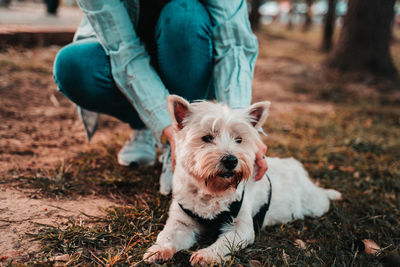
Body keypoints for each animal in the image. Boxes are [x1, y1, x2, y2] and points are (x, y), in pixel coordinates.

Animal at [144, 96, 340, 266]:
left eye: (239, 139)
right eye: (207, 137)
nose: (231, 160)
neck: (212, 190)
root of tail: (297, 167)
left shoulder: (241, 228)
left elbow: (224, 242)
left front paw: (206, 255)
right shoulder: (181, 222)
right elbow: (167, 236)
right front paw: (157, 251)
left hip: (314, 204)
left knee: (322, 197)